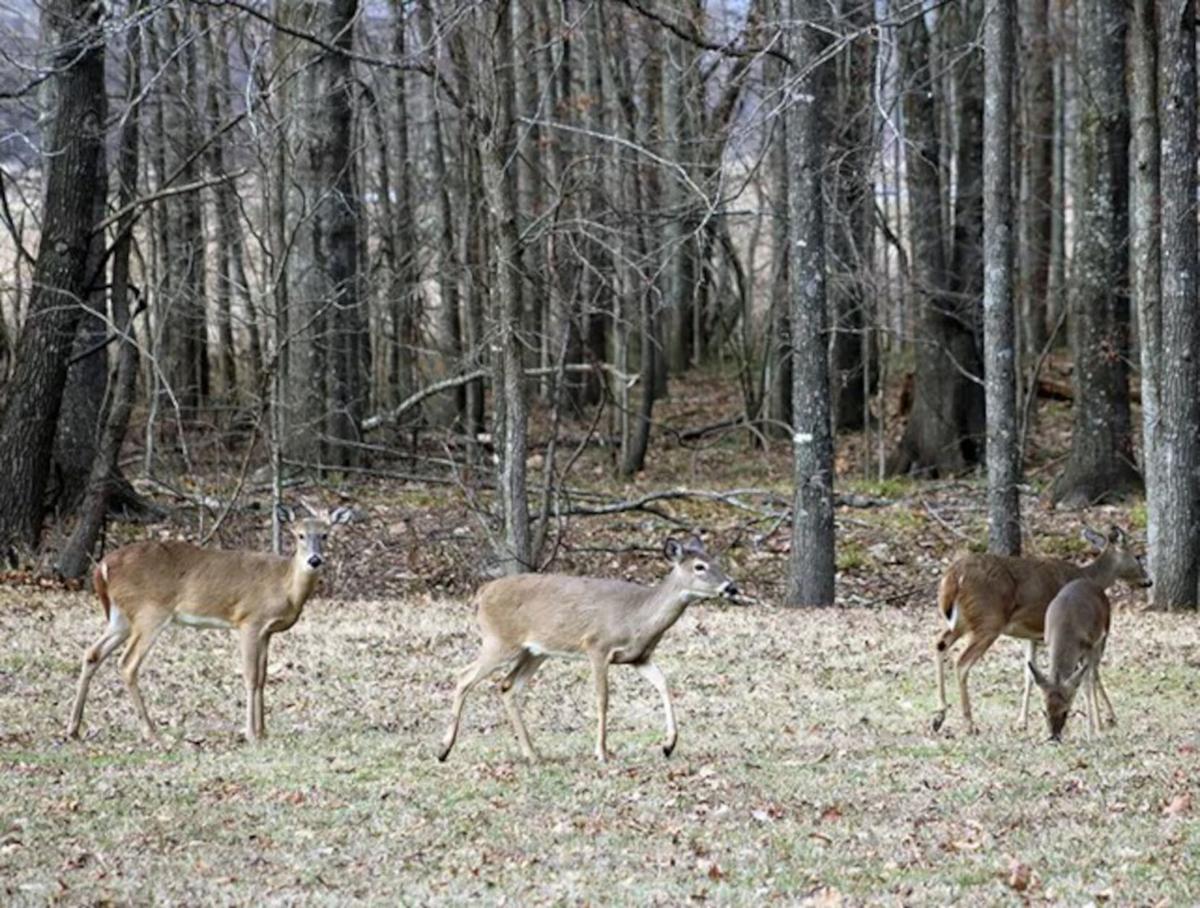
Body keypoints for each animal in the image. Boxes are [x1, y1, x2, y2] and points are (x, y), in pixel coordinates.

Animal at [66, 504, 353, 743]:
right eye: (299, 535)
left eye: (325, 535)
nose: (314, 560)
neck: (286, 586)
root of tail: (102, 566)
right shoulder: (249, 620)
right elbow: (250, 677)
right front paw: (251, 734)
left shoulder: (266, 631)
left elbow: (263, 677)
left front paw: (263, 730)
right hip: (150, 611)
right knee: (127, 664)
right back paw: (151, 733)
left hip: (122, 617)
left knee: (93, 653)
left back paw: (73, 729)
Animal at [437, 535, 739, 764]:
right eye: (699, 566)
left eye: (717, 562)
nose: (732, 587)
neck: (639, 618)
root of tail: (481, 593)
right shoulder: (597, 646)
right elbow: (602, 699)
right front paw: (602, 753)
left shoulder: (639, 657)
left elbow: (664, 684)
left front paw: (668, 745)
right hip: (500, 641)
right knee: (464, 676)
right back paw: (444, 749)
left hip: (534, 651)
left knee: (508, 686)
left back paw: (532, 754)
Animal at [1027, 578, 1115, 742]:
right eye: (1044, 711)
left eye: (1065, 712)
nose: (1054, 736)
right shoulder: (1048, 642)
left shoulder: (1089, 647)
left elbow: (1087, 686)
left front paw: (1092, 731)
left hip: (1103, 637)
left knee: (1095, 675)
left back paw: (1105, 721)